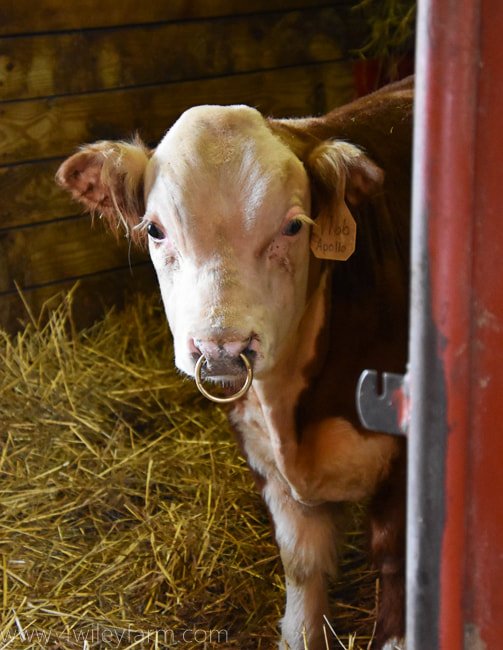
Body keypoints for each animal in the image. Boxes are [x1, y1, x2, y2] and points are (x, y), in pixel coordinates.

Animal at [56, 77, 413, 650]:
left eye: (293, 226)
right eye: (155, 230)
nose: (220, 347)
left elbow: (398, 572)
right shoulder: (262, 453)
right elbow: (301, 563)